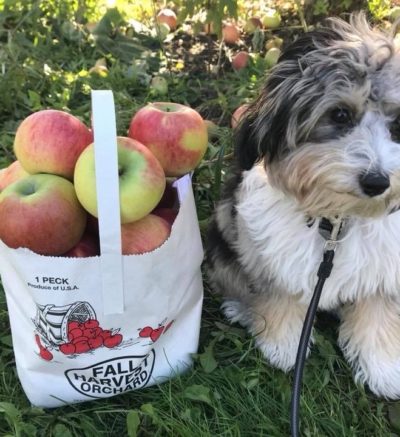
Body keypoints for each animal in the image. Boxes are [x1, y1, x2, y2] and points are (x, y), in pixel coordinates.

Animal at [206, 11, 400, 396]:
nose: (377, 182)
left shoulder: (385, 270)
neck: (336, 224)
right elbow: (279, 294)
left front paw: (383, 367)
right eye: (339, 115)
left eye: (398, 123)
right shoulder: (271, 257)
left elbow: (377, 311)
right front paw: (282, 345)